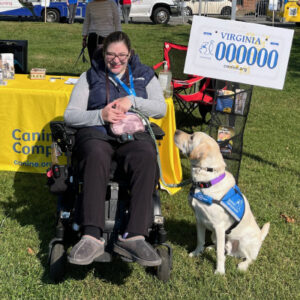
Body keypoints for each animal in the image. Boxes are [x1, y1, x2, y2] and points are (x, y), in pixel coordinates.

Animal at [173, 129, 270, 274]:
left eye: (191, 137)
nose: (176, 131)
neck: (206, 182)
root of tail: (260, 236)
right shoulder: (199, 220)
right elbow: (200, 240)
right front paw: (196, 253)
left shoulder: (219, 226)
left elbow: (219, 254)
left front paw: (219, 271)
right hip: (216, 235)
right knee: (223, 248)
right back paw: (210, 247)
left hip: (242, 242)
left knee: (249, 258)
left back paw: (243, 266)